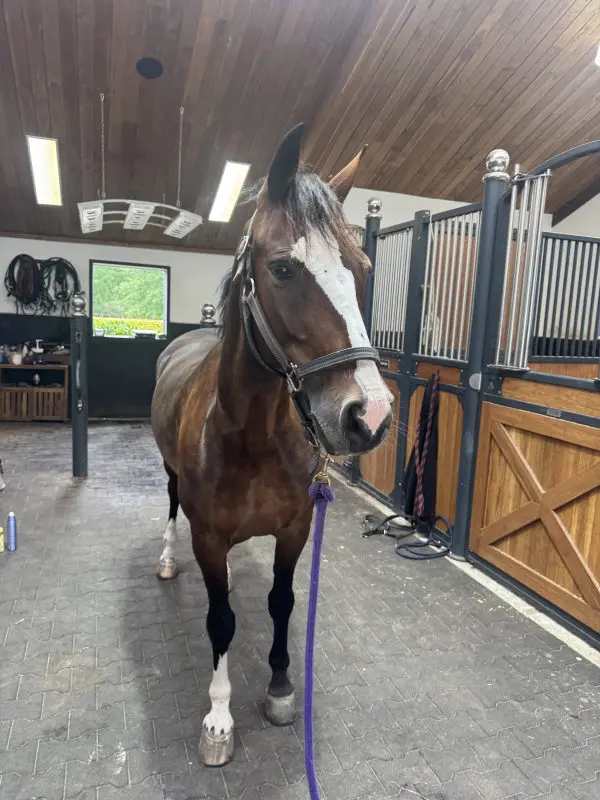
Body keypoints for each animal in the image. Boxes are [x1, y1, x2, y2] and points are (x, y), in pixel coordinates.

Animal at [150, 123, 394, 767]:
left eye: (362, 268)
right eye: (283, 269)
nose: (370, 415)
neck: (251, 437)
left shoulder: (294, 529)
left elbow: (281, 602)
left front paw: (282, 689)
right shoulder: (210, 537)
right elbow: (220, 621)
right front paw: (218, 720)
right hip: (168, 475)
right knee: (170, 509)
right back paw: (166, 560)